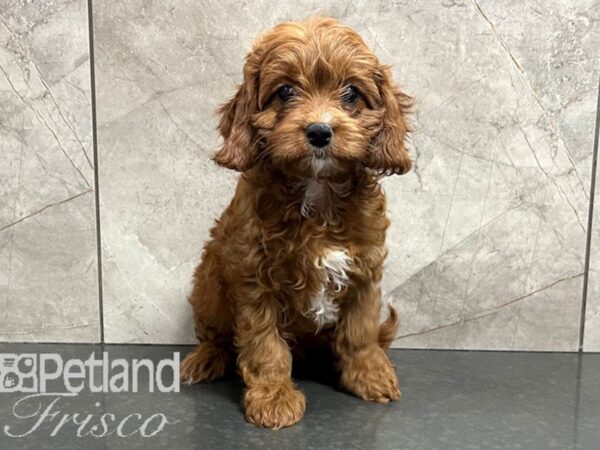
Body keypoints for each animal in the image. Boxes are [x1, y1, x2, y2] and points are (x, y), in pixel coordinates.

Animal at [180, 16, 410, 428]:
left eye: (351, 93)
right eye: (285, 91)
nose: (319, 131)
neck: (316, 191)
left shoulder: (365, 271)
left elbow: (360, 332)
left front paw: (369, 375)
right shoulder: (254, 279)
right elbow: (264, 344)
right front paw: (273, 397)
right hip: (209, 283)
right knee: (215, 336)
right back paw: (204, 359)